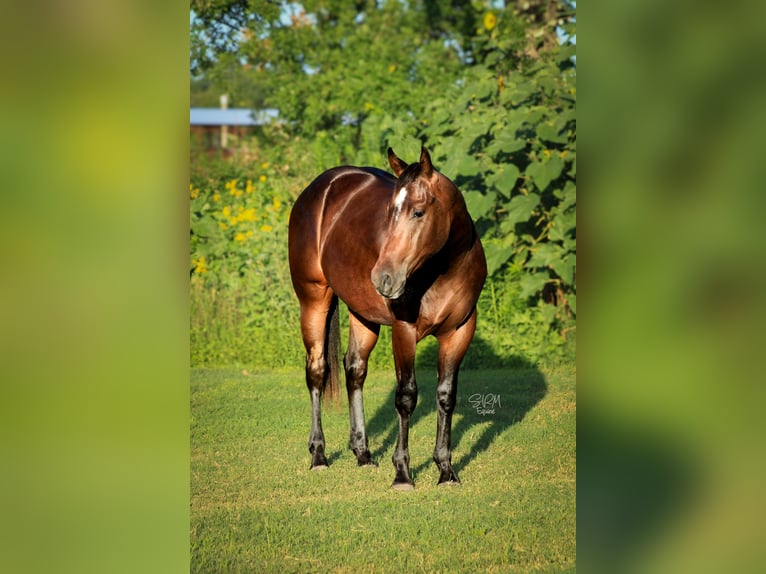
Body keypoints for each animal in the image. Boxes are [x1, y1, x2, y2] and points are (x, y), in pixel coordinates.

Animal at [288, 146, 487, 490]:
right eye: (390, 212)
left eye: (418, 212)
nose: (383, 278)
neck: (445, 269)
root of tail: (319, 188)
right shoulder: (404, 330)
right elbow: (406, 396)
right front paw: (403, 474)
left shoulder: (460, 331)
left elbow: (446, 396)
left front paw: (446, 471)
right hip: (313, 300)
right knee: (316, 371)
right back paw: (319, 456)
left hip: (361, 313)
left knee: (354, 369)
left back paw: (363, 453)